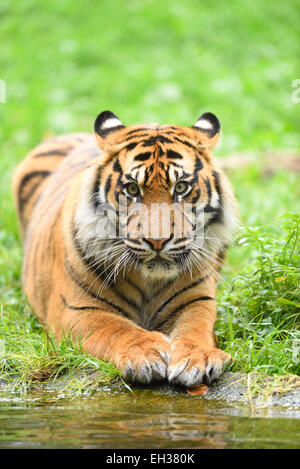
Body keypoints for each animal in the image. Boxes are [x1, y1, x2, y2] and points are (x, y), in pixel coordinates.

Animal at [12, 110, 239, 388]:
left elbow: (196, 329)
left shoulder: (196, 301)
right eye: (132, 189)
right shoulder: (76, 308)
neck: (149, 281)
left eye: (181, 187)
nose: (157, 241)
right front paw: (146, 352)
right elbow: (115, 328)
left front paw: (198, 357)